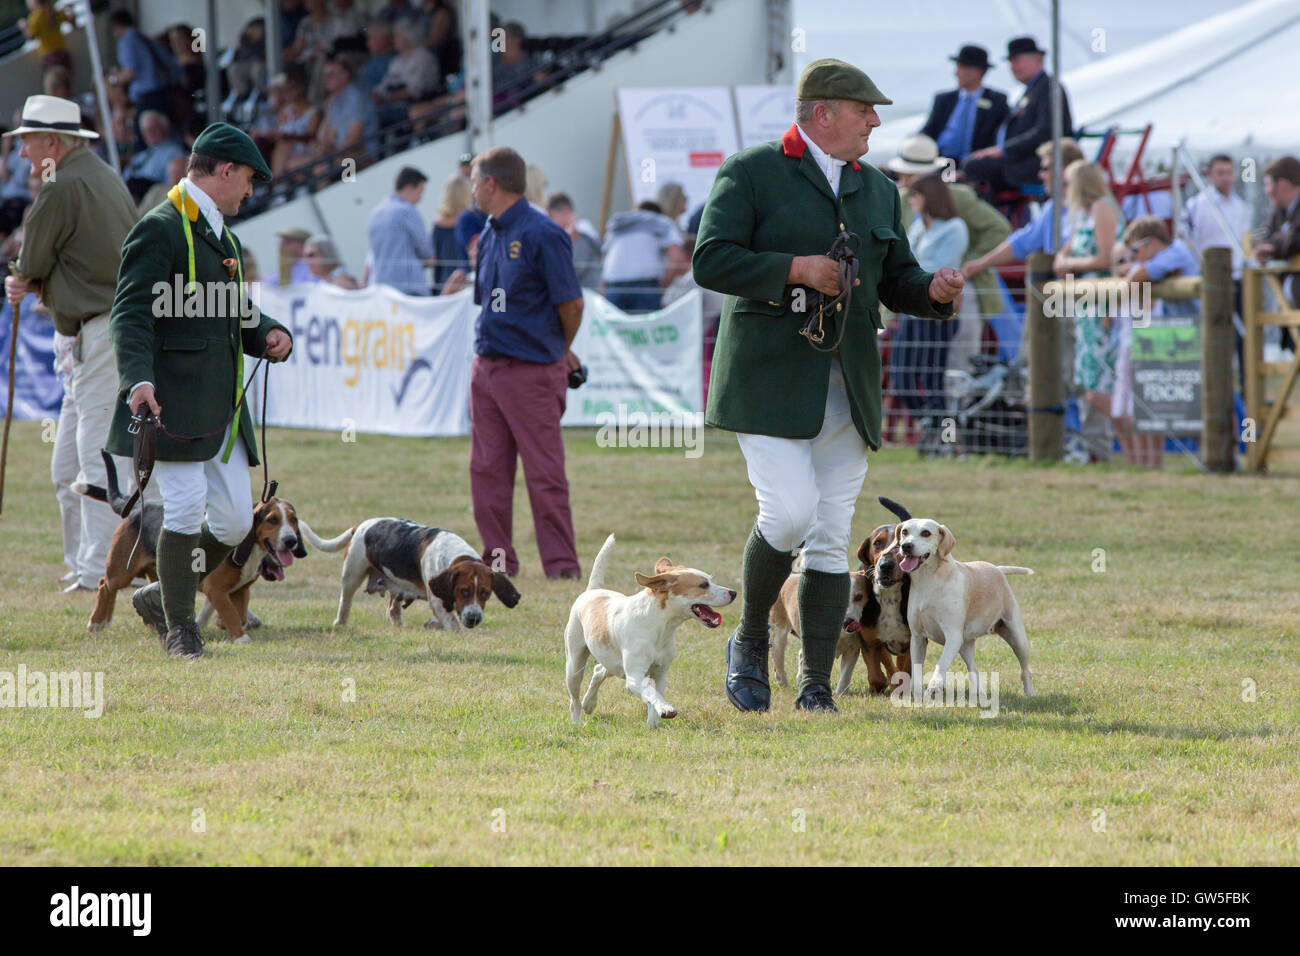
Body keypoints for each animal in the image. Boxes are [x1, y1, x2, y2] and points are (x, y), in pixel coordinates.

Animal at [564, 535, 738, 728]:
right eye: (703, 585)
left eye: (710, 580)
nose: (734, 592)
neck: (659, 627)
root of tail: (593, 590)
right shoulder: (634, 678)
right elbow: (650, 692)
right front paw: (666, 709)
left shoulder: (660, 673)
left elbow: (655, 695)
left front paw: (653, 725)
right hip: (575, 665)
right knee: (574, 699)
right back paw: (577, 721)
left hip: (615, 665)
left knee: (598, 671)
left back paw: (589, 703)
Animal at [894, 520, 1034, 697]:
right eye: (904, 531)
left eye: (926, 533)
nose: (906, 546)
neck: (930, 580)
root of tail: (997, 569)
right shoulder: (918, 638)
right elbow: (917, 669)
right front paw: (918, 694)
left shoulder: (953, 636)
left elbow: (941, 663)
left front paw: (935, 686)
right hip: (965, 645)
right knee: (973, 669)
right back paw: (978, 694)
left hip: (1017, 638)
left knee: (1025, 669)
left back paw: (1030, 693)